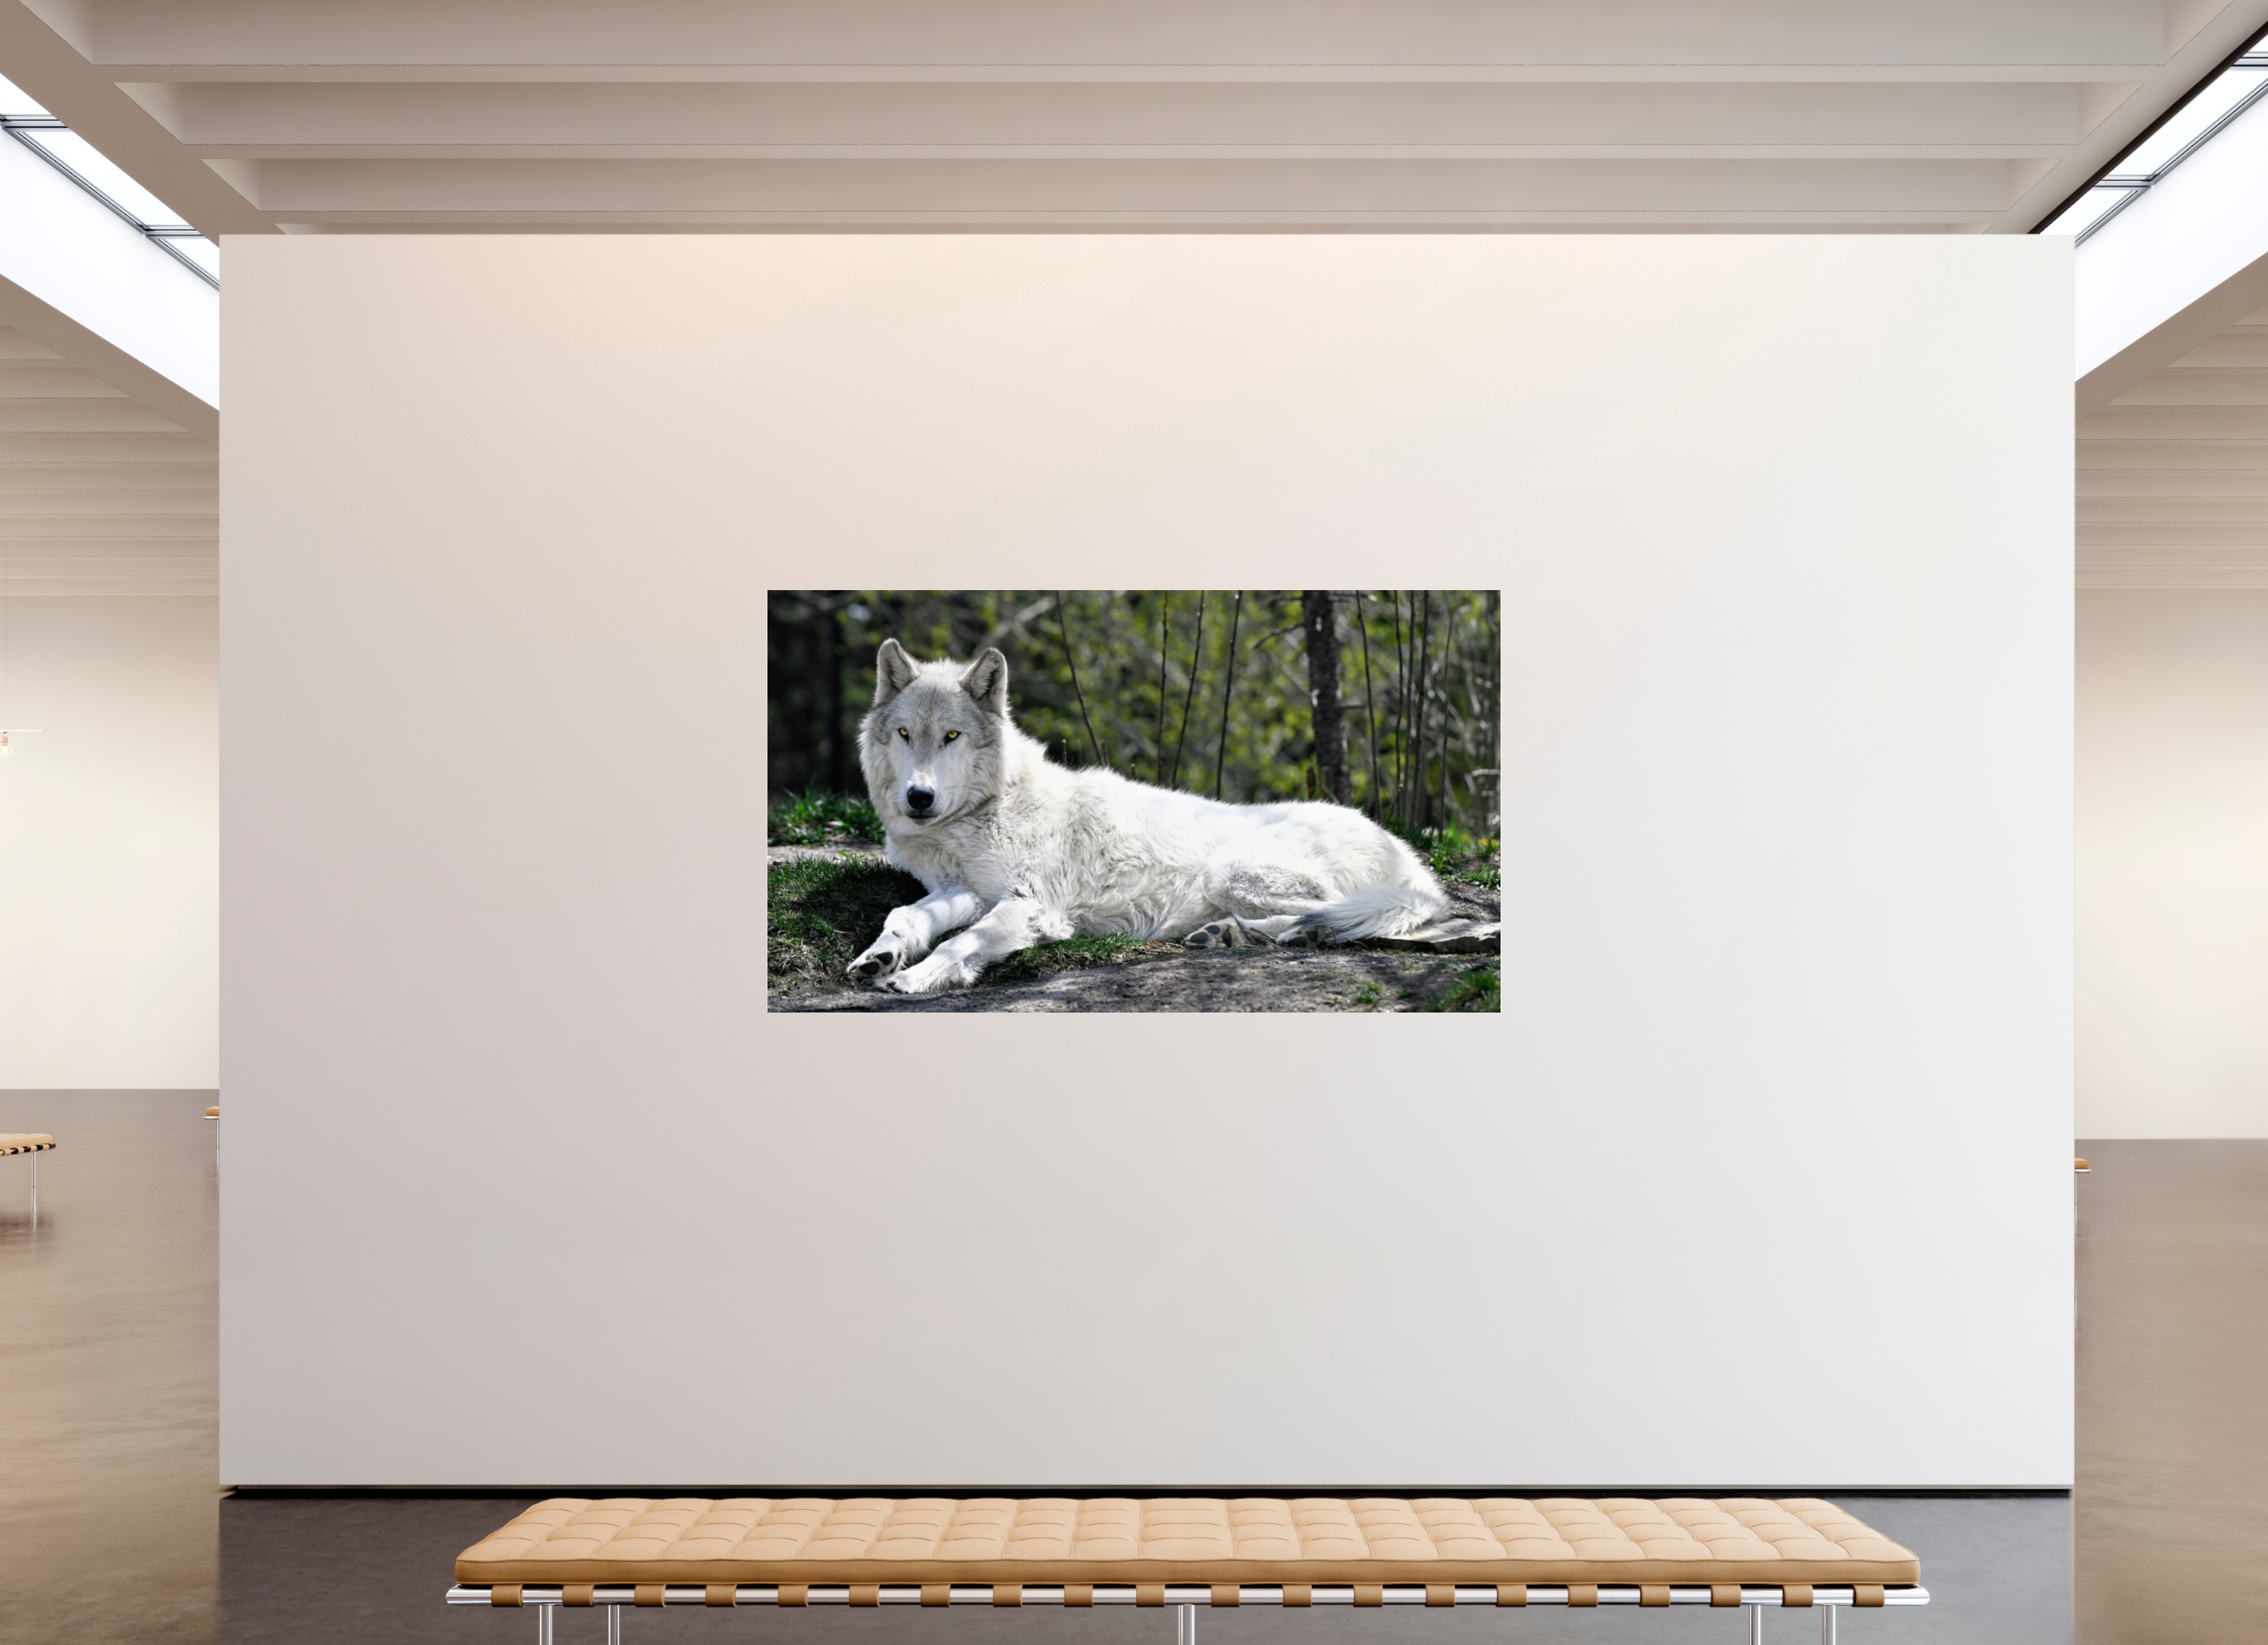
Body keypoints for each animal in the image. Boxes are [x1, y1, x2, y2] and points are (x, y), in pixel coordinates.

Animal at [845, 637, 1455, 993]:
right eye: (905, 734)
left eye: (952, 736)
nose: (918, 798)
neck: (985, 811)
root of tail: (1412, 860)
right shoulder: (966, 890)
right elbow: (905, 914)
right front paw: (880, 956)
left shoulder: (1033, 906)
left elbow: (959, 942)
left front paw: (917, 976)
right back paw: (1229, 936)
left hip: (1233, 872)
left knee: (1344, 915)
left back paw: (1262, 935)